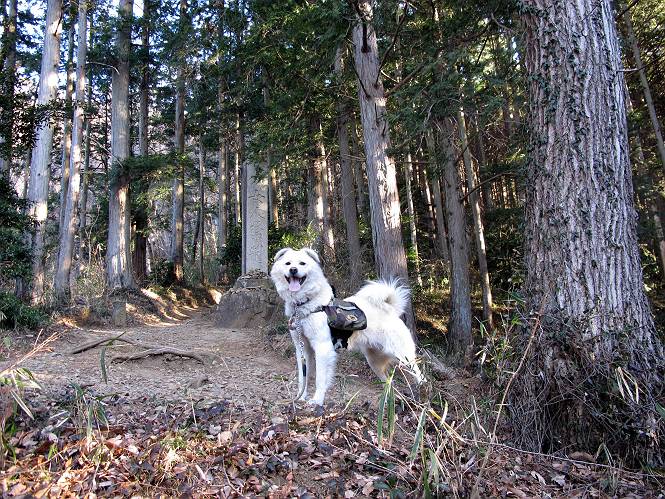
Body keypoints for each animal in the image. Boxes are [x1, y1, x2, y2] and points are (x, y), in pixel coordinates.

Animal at [270, 247, 425, 406]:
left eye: (302, 263)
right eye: (288, 263)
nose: (293, 270)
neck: (305, 304)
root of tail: (391, 310)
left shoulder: (322, 348)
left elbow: (320, 379)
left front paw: (317, 400)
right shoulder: (302, 349)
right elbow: (303, 378)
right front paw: (300, 397)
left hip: (403, 357)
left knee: (420, 376)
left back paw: (422, 394)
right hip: (374, 361)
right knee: (389, 382)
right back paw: (388, 402)